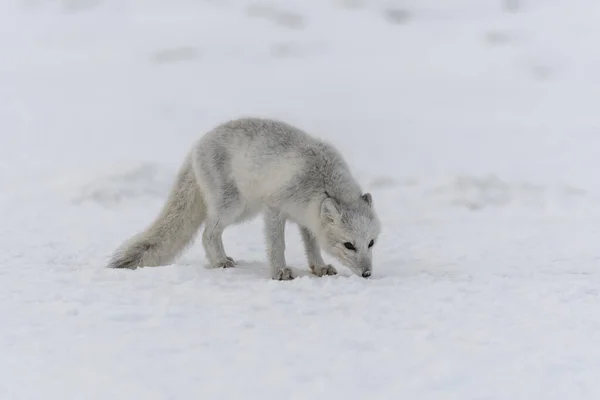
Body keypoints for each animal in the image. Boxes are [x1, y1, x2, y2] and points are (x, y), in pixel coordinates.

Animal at [107, 117, 380, 280]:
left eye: (371, 243)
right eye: (349, 245)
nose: (367, 274)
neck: (322, 183)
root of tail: (197, 145)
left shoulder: (306, 218)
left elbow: (311, 247)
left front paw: (319, 268)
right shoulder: (274, 208)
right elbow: (276, 245)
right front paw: (280, 272)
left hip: (245, 209)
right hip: (234, 207)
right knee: (208, 233)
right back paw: (220, 262)